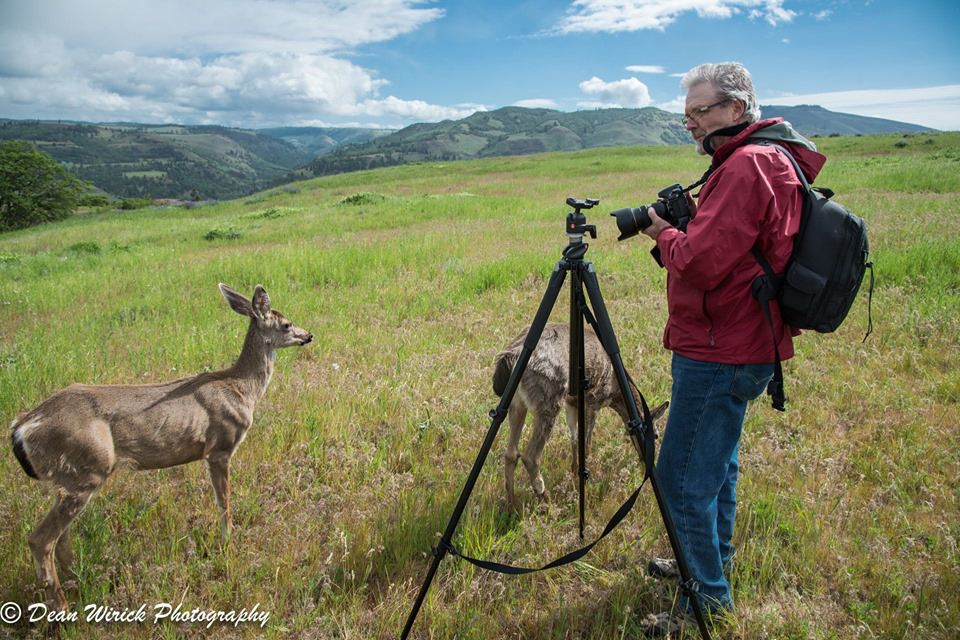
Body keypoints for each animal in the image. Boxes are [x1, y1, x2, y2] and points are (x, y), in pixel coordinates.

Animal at [10, 284, 312, 608]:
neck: (242, 388)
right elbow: (224, 503)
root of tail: (21, 427)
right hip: (86, 470)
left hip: (67, 478)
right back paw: (62, 608)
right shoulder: (219, 446)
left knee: (60, 538)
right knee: (40, 540)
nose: (308, 335)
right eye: (286, 324)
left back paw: (77, 582)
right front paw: (228, 546)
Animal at [492, 322, 664, 512]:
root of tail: (513, 355)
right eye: (656, 435)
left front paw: (574, 473)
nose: (646, 461)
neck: (617, 391)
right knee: (530, 456)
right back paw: (547, 502)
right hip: (549, 398)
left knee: (510, 453)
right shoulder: (594, 400)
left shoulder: (572, 403)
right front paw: (583, 486)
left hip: (518, 402)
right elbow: (586, 445)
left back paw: (511, 507)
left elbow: (574, 439)